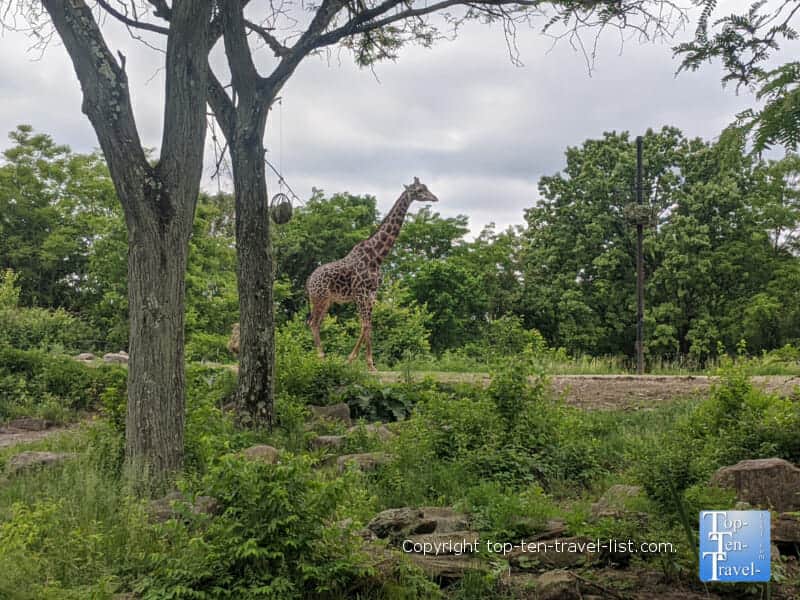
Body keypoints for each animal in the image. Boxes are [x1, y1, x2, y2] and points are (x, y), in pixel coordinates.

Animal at [305, 177, 439, 371]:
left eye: (426, 187)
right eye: (420, 190)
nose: (434, 197)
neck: (377, 257)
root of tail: (308, 281)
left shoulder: (372, 293)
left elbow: (369, 325)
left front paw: (367, 363)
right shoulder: (360, 292)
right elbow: (366, 324)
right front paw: (353, 361)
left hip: (326, 300)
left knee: (316, 323)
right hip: (320, 297)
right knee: (313, 323)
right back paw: (321, 358)